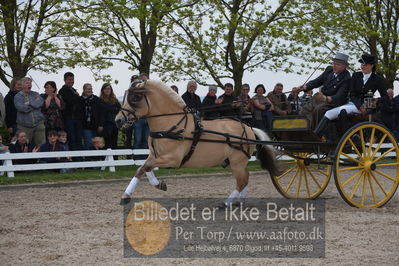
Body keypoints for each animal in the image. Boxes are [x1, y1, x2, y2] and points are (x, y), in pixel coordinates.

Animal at [114, 79, 280, 206]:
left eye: (135, 97)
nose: (118, 120)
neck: (172, 124)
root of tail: (248, 128)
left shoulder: (173, 159)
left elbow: (145, 167)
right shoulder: (155, 155)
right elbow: (142, 168)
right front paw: (133, 193)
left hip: (237, 162)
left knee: (242, 180)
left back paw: (226, 203)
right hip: (232, 162)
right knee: (245, 177)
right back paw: (239, 202)